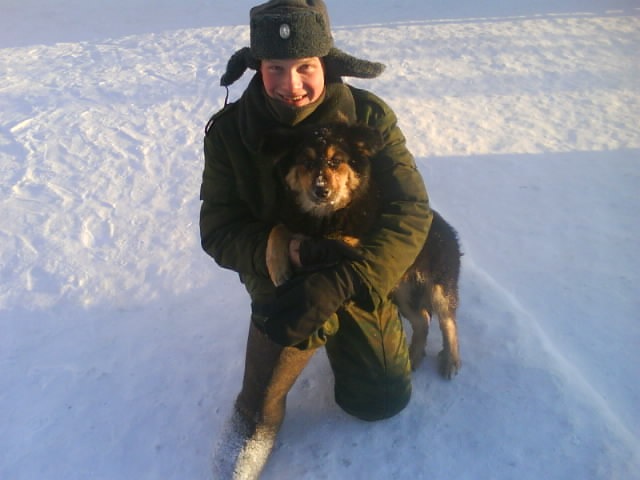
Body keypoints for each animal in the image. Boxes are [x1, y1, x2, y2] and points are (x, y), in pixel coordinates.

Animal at [263, 122, 462, 378]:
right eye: (306, 162)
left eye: (336, 161)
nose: (321, 191)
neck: (327, 214)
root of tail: (450, 233)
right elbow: (278, 229)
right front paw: (277, 266)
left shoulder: (359, 239)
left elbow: (334, 239)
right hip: (401, 292)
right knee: (423, 319)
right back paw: (415, 355)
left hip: (439, 288)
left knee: (448, 322)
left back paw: (451, 360)